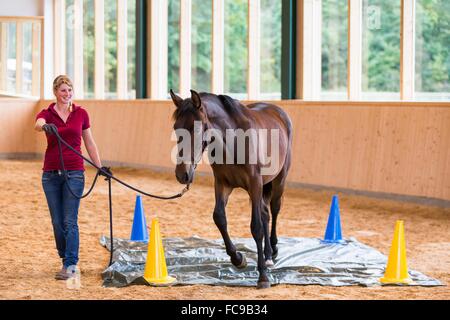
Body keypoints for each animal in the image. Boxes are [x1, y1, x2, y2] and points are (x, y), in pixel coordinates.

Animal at [169, 89, 292, 288]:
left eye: (195, 128)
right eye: (175, 127)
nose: (182, 174)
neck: (233, 141)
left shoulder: (255, 184)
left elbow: (256, 227)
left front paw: (263, 277)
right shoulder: (222, 184)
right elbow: (219, 217)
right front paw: (238, 258)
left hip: (278, 181)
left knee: (274, 210)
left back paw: (272, 251)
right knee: (265, 213)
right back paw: (266, 255)